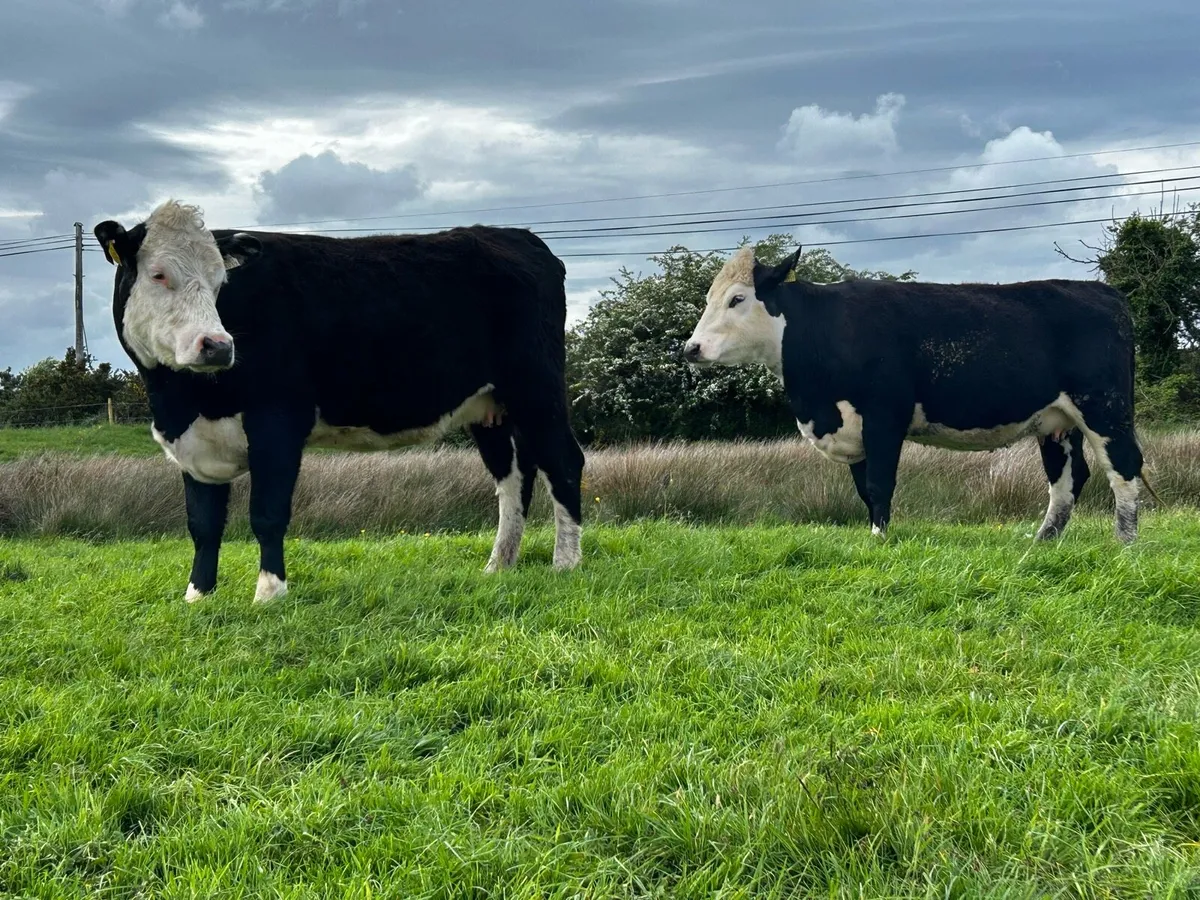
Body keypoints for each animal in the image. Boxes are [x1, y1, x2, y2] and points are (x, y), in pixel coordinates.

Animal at [93, 199, 584, 604]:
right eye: (158, 274)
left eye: (221, 281)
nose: (217, 345)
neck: (183, 400)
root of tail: (517, 236)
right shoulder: (195, 441)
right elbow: (203, 523)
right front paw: (198, 595)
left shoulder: (278, 420)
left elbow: (267, 513)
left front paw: (269, 594)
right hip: (489, 407)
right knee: (513, 477)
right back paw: (499, 565)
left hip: (536, 386)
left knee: (563, 461)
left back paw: (565, 562)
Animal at [682, 246, 1159, 544]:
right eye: (709, 297)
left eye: (737, 299)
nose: (691, 348)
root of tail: (1102, 291)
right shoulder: (853, 429)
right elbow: (863, 488)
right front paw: (875, 533)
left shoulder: (883, 416)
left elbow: (880, 483)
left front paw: (879, 540)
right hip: (1057, 421)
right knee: (1067, 479)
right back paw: (1042, 541)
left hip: (1105, 408)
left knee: (1123, 468)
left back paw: (1124, 542)